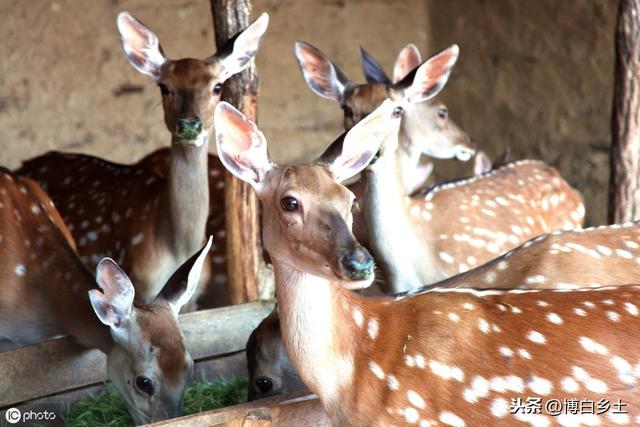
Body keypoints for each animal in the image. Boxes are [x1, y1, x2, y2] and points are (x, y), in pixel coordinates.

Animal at [16, 11, 268, 306]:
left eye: (218, 87)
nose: (189, 125)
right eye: (164, 86)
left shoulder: (193, 299)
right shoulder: (135, 282)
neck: (176, 248)